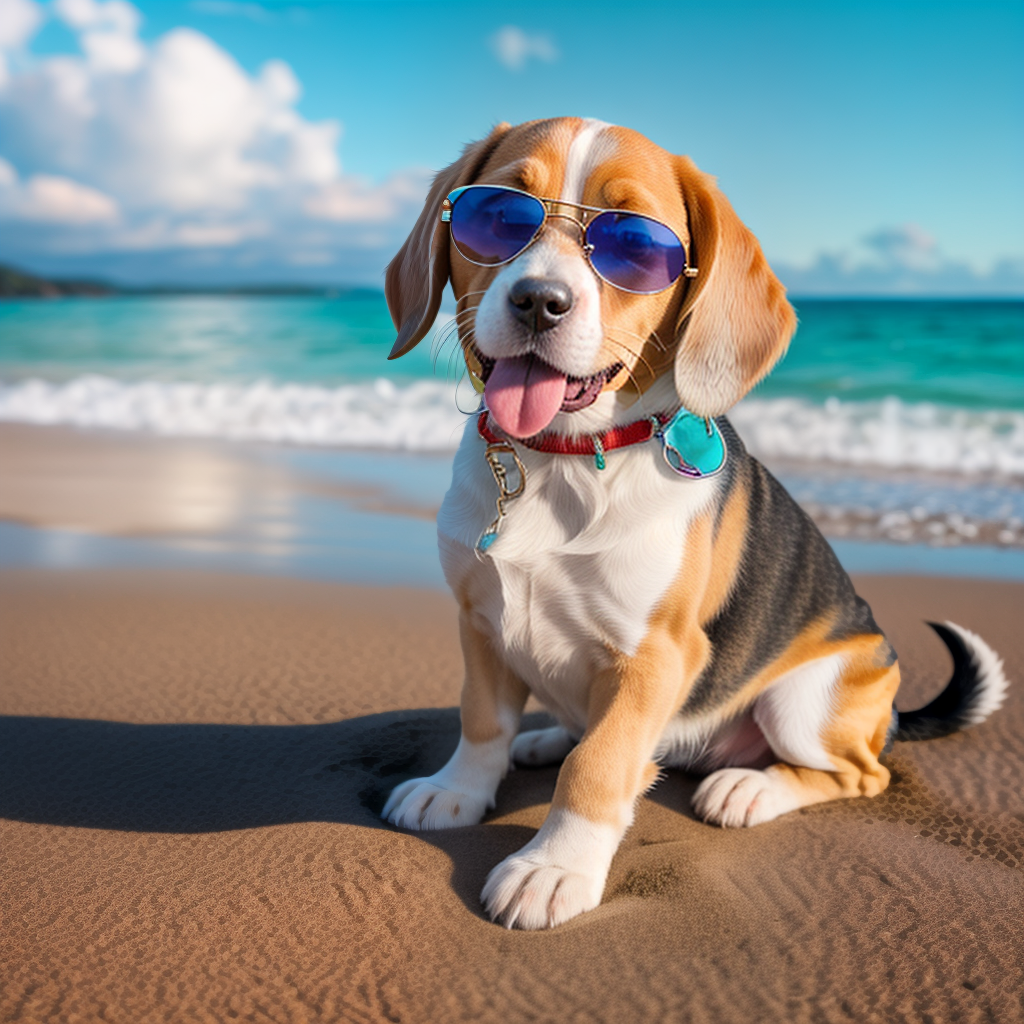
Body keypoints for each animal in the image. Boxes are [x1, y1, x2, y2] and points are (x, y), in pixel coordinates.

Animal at [378, 117, 1007, 929]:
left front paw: (554, 867)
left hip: (806, 698)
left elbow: (599, 765)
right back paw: (546, 738)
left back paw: (750, 787)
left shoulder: (656, 656)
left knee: (858, 775)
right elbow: (483, 722)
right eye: (499, 212)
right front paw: (456, 790)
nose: (539, 300)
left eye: (633, 243)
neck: (563, 461)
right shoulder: (480, 621)